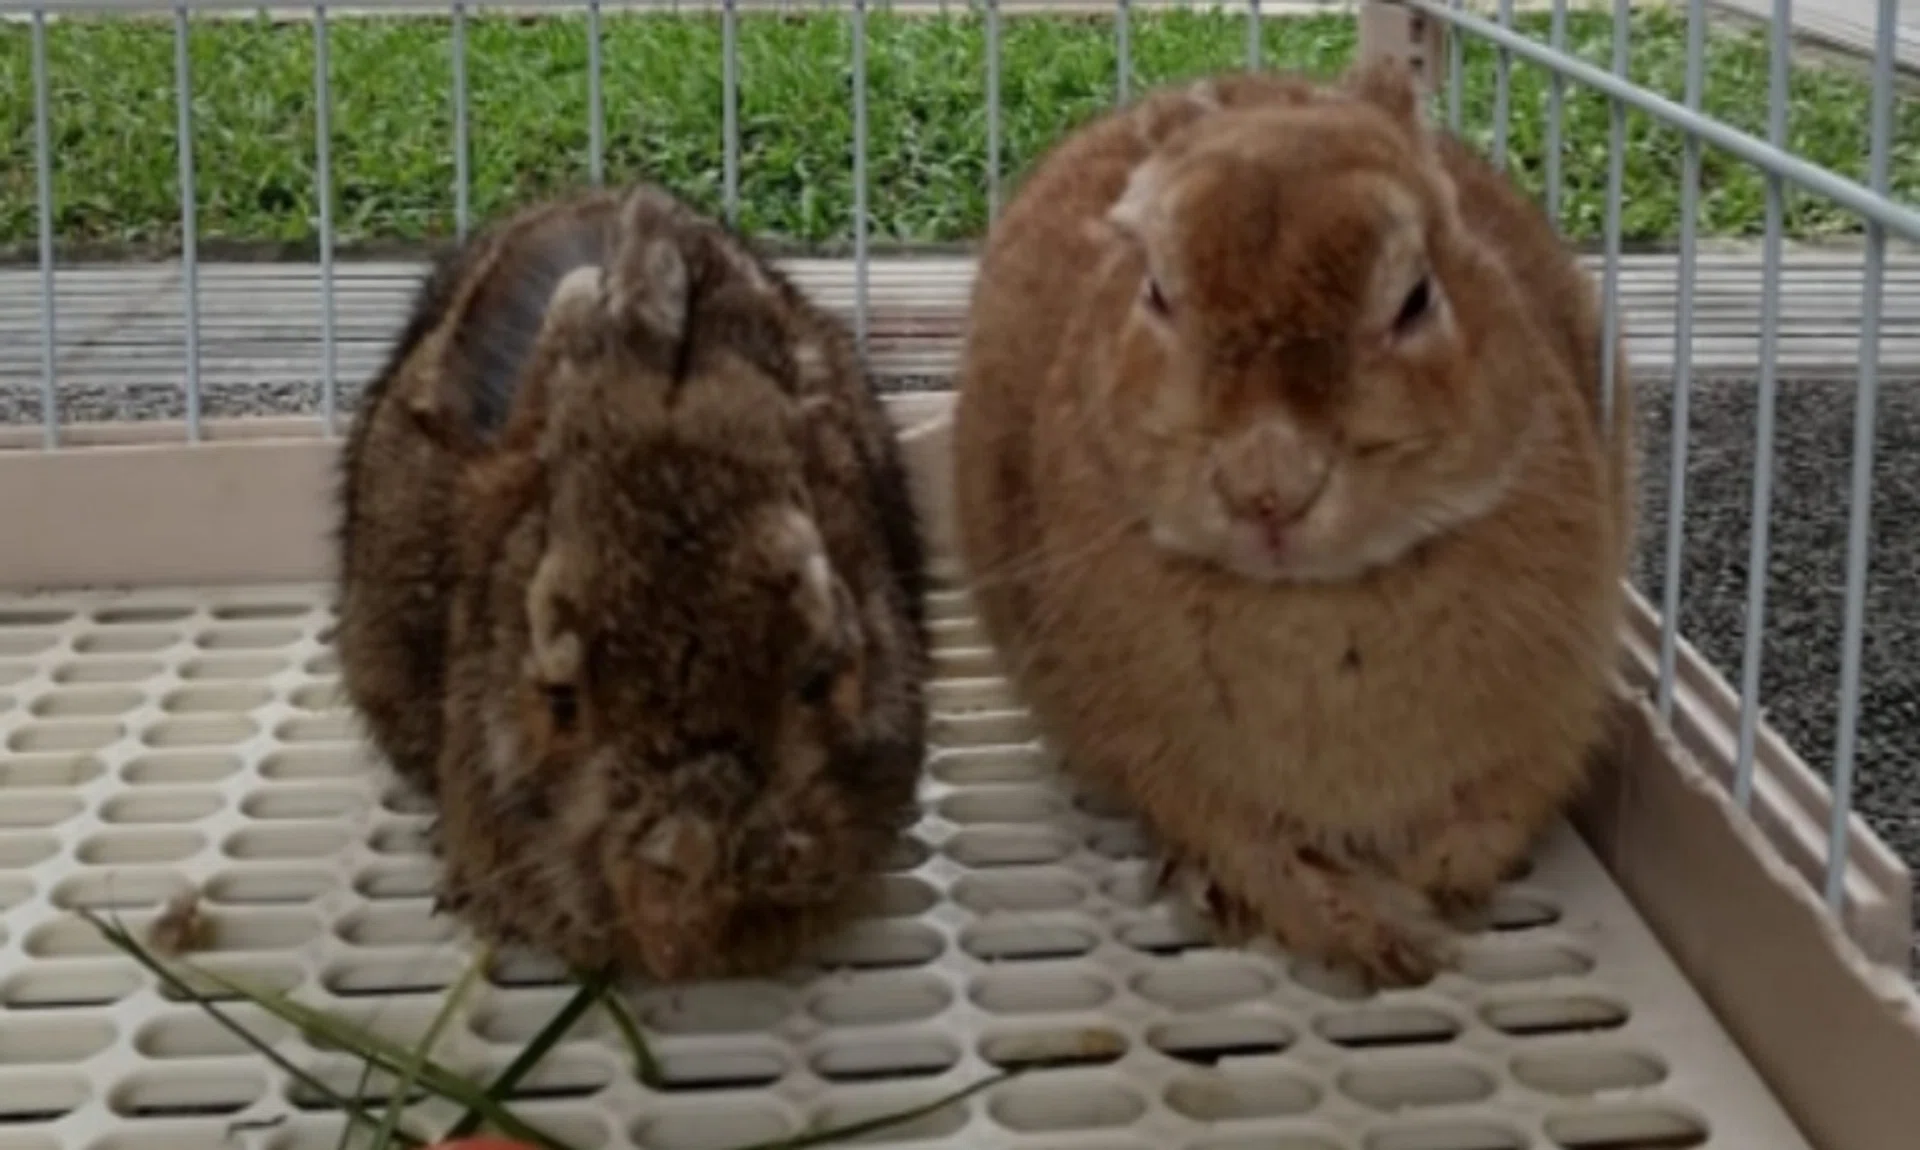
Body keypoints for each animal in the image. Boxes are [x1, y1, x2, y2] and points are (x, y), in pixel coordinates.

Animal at [950, 58, 1638, 988]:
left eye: (1417, 298)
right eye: (1156, 292)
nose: (1268, 489)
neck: (1315, 603)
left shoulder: (1547, 727)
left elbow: (1484, 821)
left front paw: (1428, 902)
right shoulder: (1185, 779)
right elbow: (1259, 853)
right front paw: (1371, 936)